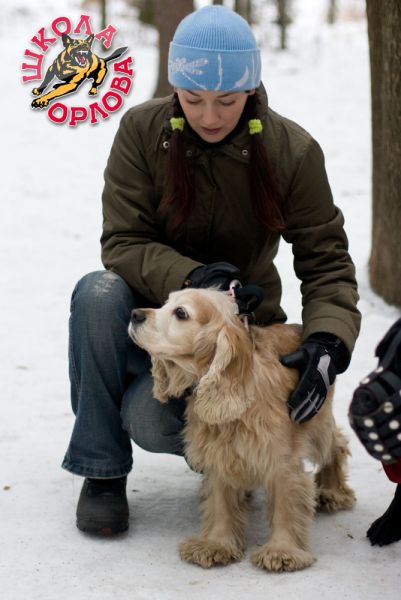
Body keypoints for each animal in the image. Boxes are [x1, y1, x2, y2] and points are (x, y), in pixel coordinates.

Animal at [128, 288, 355, 572]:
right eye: (165, 303)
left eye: (181, 313)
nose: (135, 314)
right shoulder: (218, 453)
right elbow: (221, 503)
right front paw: (215, 545)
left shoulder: (282, 460)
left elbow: (285, 506)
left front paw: (282, 551)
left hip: (316, 421)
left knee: (336, 444)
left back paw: (332, 492)